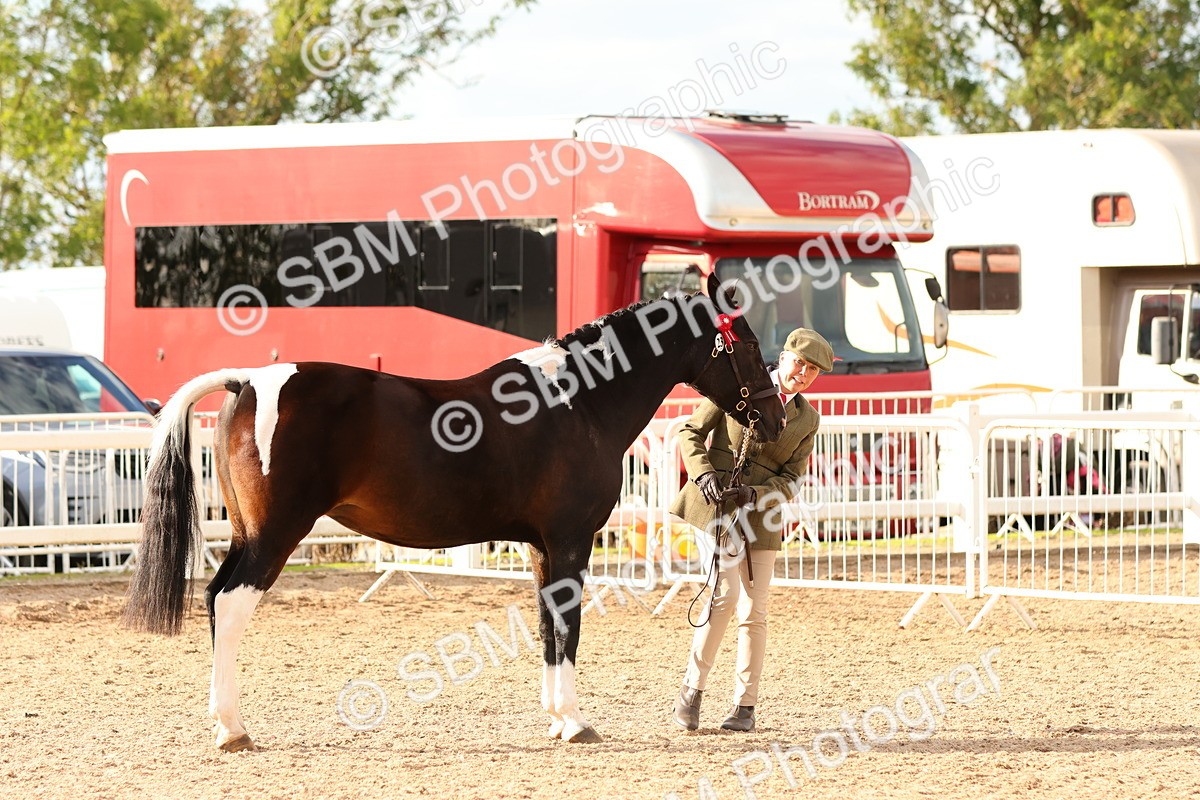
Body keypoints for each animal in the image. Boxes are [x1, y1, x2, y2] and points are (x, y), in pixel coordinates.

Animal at [124, 273, 785, 752]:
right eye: (750, 345)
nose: (776, 417)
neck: (579, 402)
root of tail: (249, 381)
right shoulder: (572, 541)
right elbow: (567, 628)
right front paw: (575, 723)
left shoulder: (542, 547)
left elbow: (547, 627)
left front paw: (554, 719)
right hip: (275, 535)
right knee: (233, 605)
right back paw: (233, 729)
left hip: (246, 533)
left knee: (214, 600)